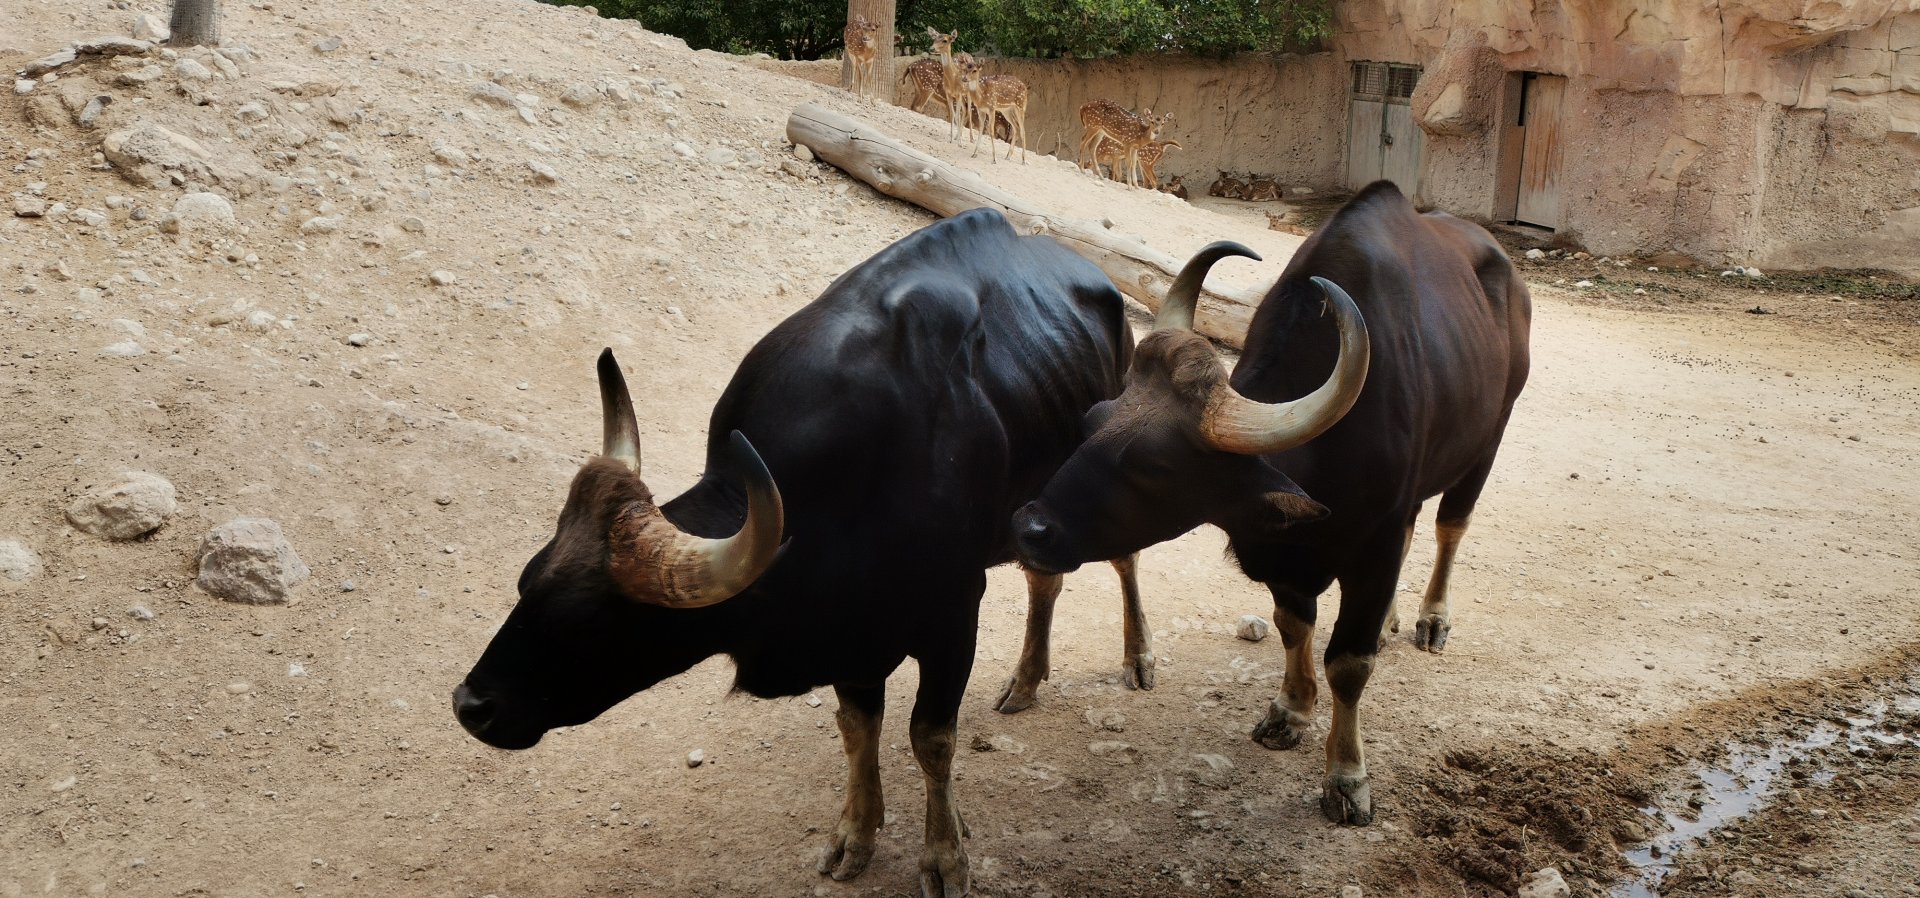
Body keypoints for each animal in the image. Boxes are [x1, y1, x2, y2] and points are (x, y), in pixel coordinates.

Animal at [451, 208, 1194, 897]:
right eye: (525, 585)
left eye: (590, 622)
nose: (471, 705)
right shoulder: (850, 634)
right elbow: (858, 728)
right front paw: (855, 834)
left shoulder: (952, 615)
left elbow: (932, 738)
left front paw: (945, 856)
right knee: (1045, 579)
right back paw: (1027, 679)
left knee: (1120, 560)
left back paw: (1138, 657)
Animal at [1008, 180, 1532, 826]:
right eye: (1091, 421)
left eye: (1154, 466)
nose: (1029, 527)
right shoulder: (1286, 557)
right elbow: (1292, 625)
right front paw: (1291, 709)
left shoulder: (1375, 546)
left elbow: (1349, 663)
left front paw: (1347, 778)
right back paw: (1391, 621)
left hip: (1488, 441)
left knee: (1449, 527)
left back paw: (1432, 619)